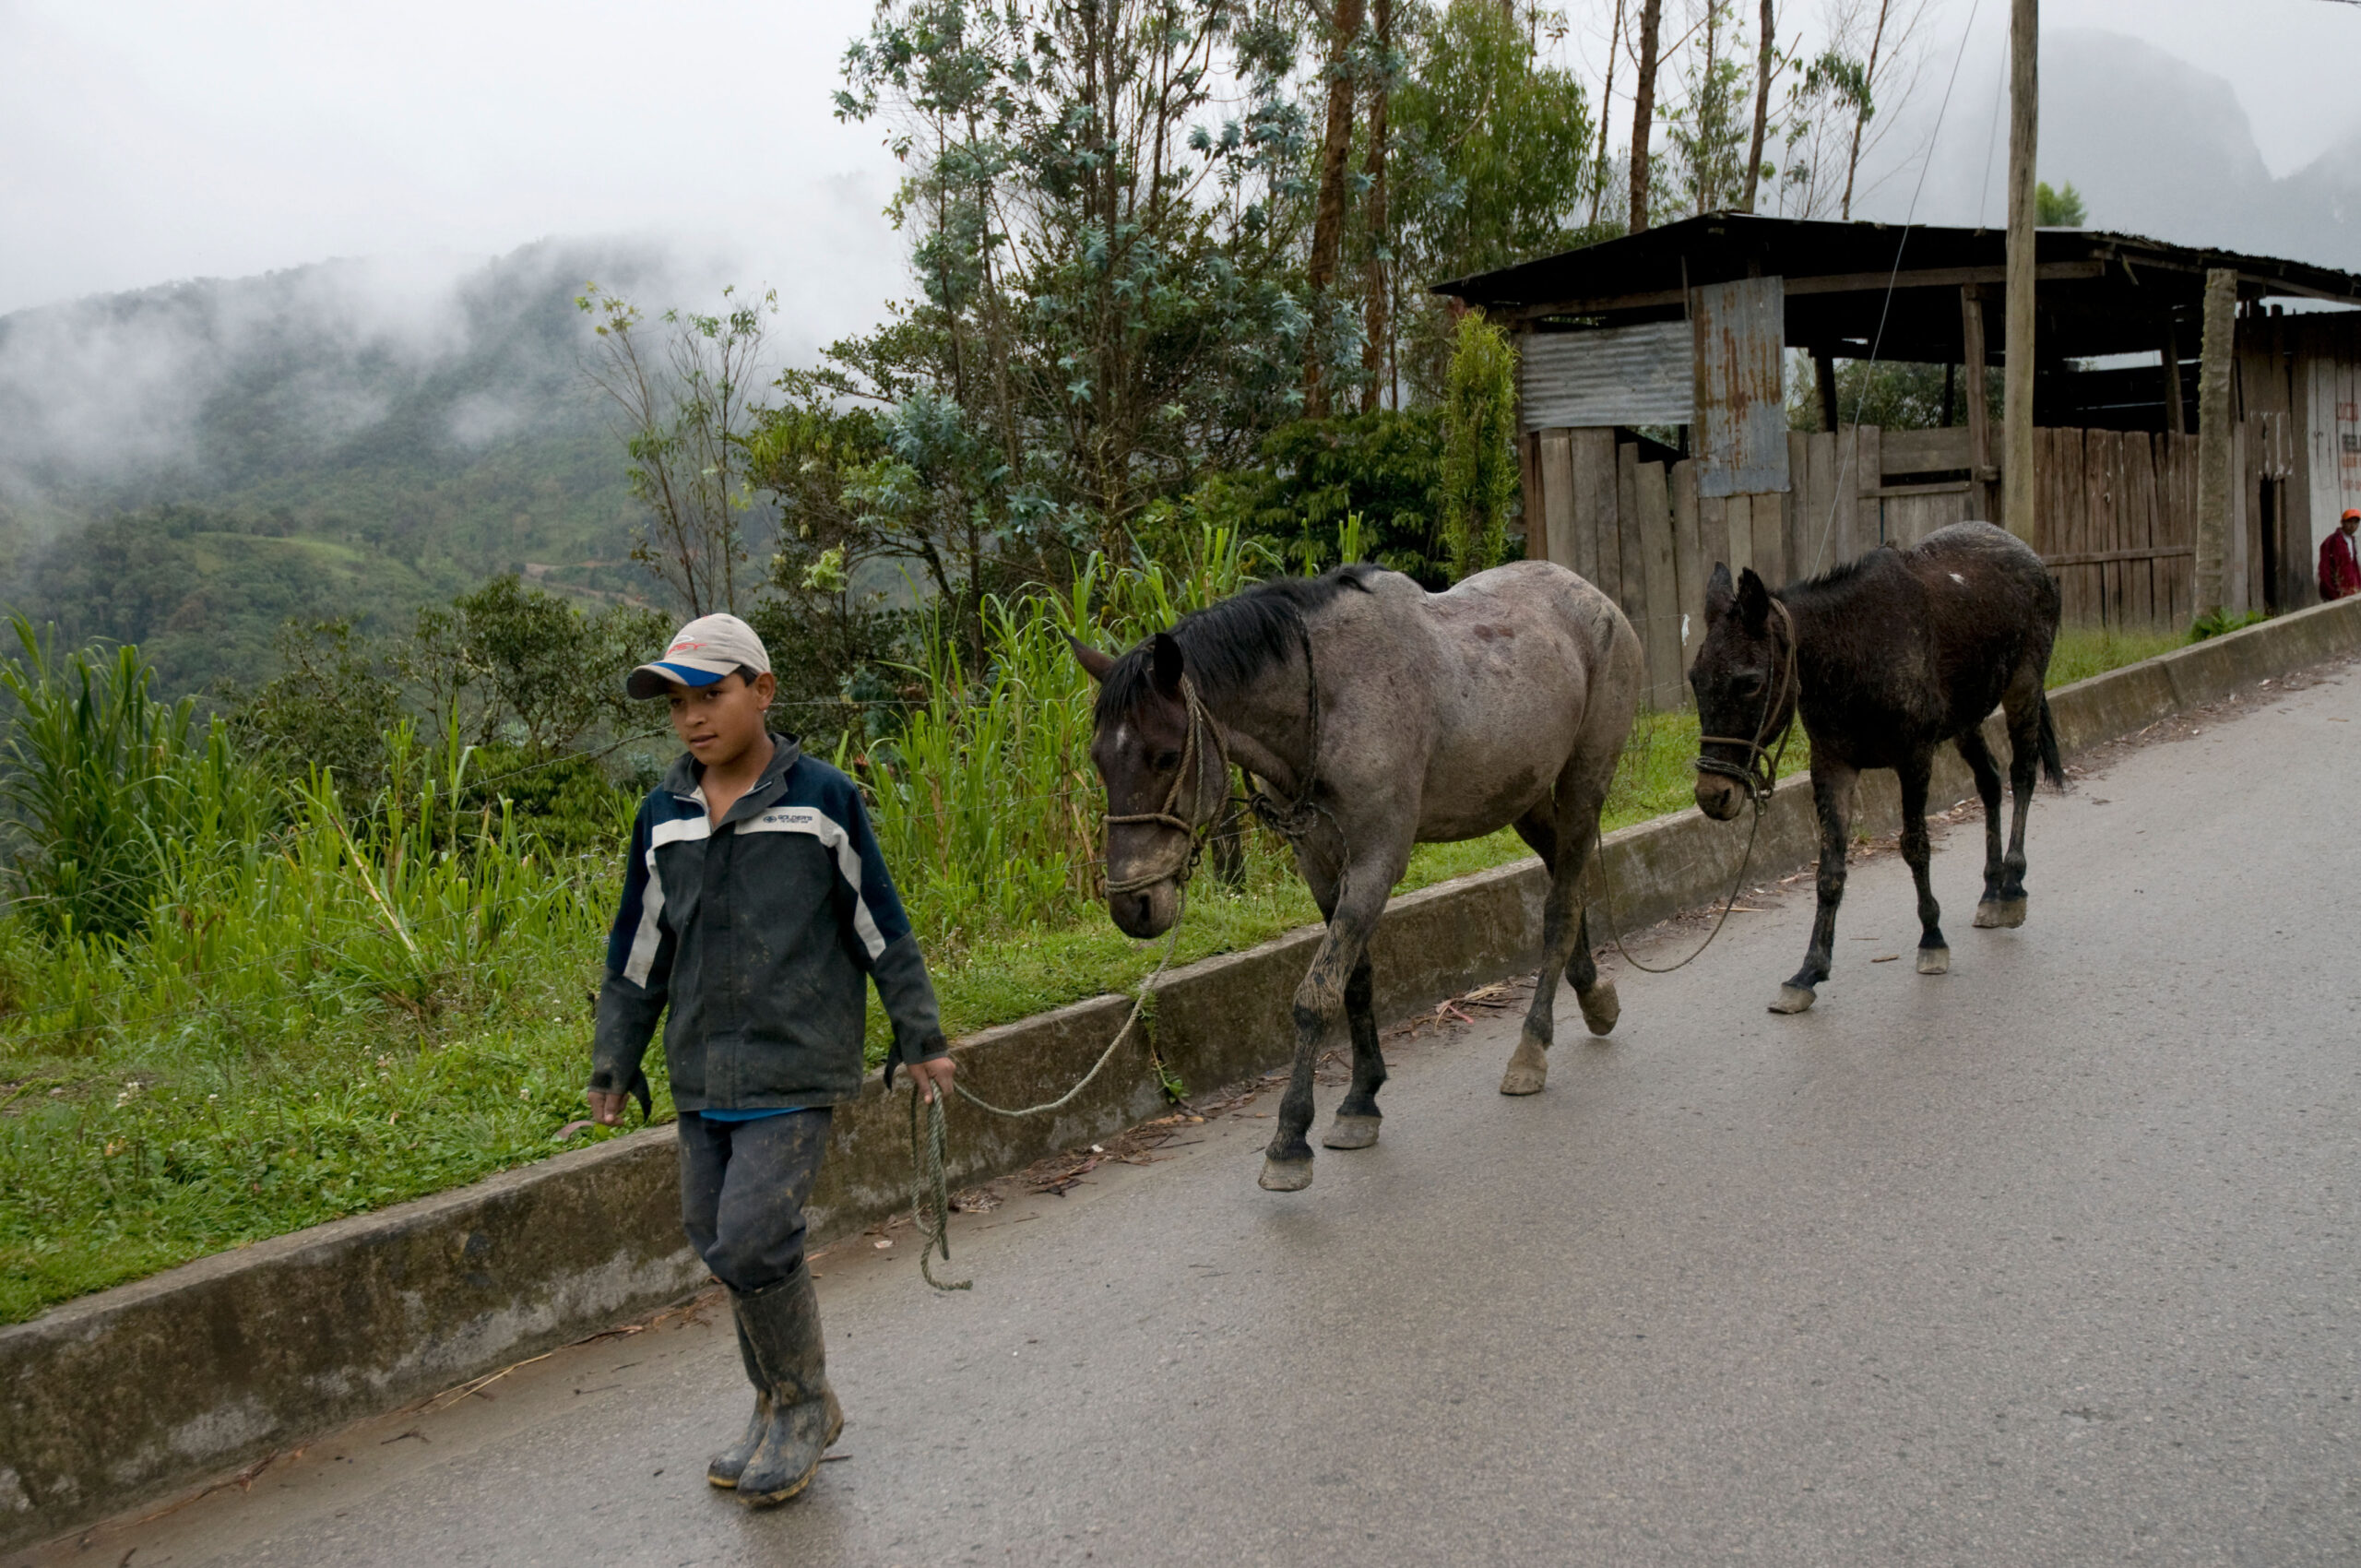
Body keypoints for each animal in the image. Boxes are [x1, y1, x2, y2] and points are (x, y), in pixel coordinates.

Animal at [1076, 564, 1643, 1190]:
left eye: (1166, 755)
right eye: (1099, 758)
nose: (1133, 905)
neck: (1327, 702)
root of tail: (1594, 597)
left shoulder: (1377, 861)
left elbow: (1315, 995)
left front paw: (1289, 1139)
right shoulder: (1321, 865)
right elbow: (1355, 982)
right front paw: (1359, 1101)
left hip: (1585, 782)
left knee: (1561, 906)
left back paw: (1531, 1047)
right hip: (1524, 797)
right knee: (1568, 879)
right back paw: (1593, 994)